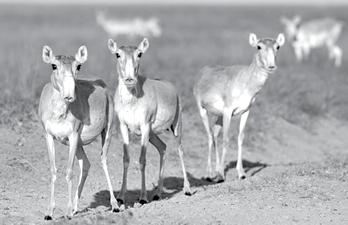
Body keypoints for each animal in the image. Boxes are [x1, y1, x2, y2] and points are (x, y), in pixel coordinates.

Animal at [39, 44, 119, 219]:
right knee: (86, 164)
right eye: (54, 65)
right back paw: (76, 207)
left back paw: (115, 205)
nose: (69, 95)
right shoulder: (49, 137)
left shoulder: (73, 136)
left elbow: (69, 172)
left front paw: (68, 212)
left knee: (103, 160)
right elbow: (53, 171)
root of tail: (102, 84)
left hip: (106, 132)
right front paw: (49, 212)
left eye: (78, 66)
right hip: (79, 145)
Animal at [107, 37, 192, 204]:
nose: (129, 79)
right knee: (163, 147)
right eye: (117, 54)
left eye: (139, 53)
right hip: (152, 135)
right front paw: (120, 197)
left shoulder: (145, 126)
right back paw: (158, 193)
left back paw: (187, 189)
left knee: (180, 150)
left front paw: (143, 197)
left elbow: (142, 160)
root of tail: (171, 87)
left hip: (175, 128)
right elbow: (126, 159)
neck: (132, 101)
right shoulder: (124, 127)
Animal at [193, 32, 286, 182]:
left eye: (277, 46)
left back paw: (216, 171)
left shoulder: (245, 111)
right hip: (203, 111)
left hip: (219, 116)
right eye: (258, 46)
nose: (271, 66)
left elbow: (240, 138)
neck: (246, 80)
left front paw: (241, 173)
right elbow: (226, 139)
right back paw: (209, 174)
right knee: (209, 136)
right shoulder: (228, 112)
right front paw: (221, 175)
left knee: (214, 133)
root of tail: (203, 72)